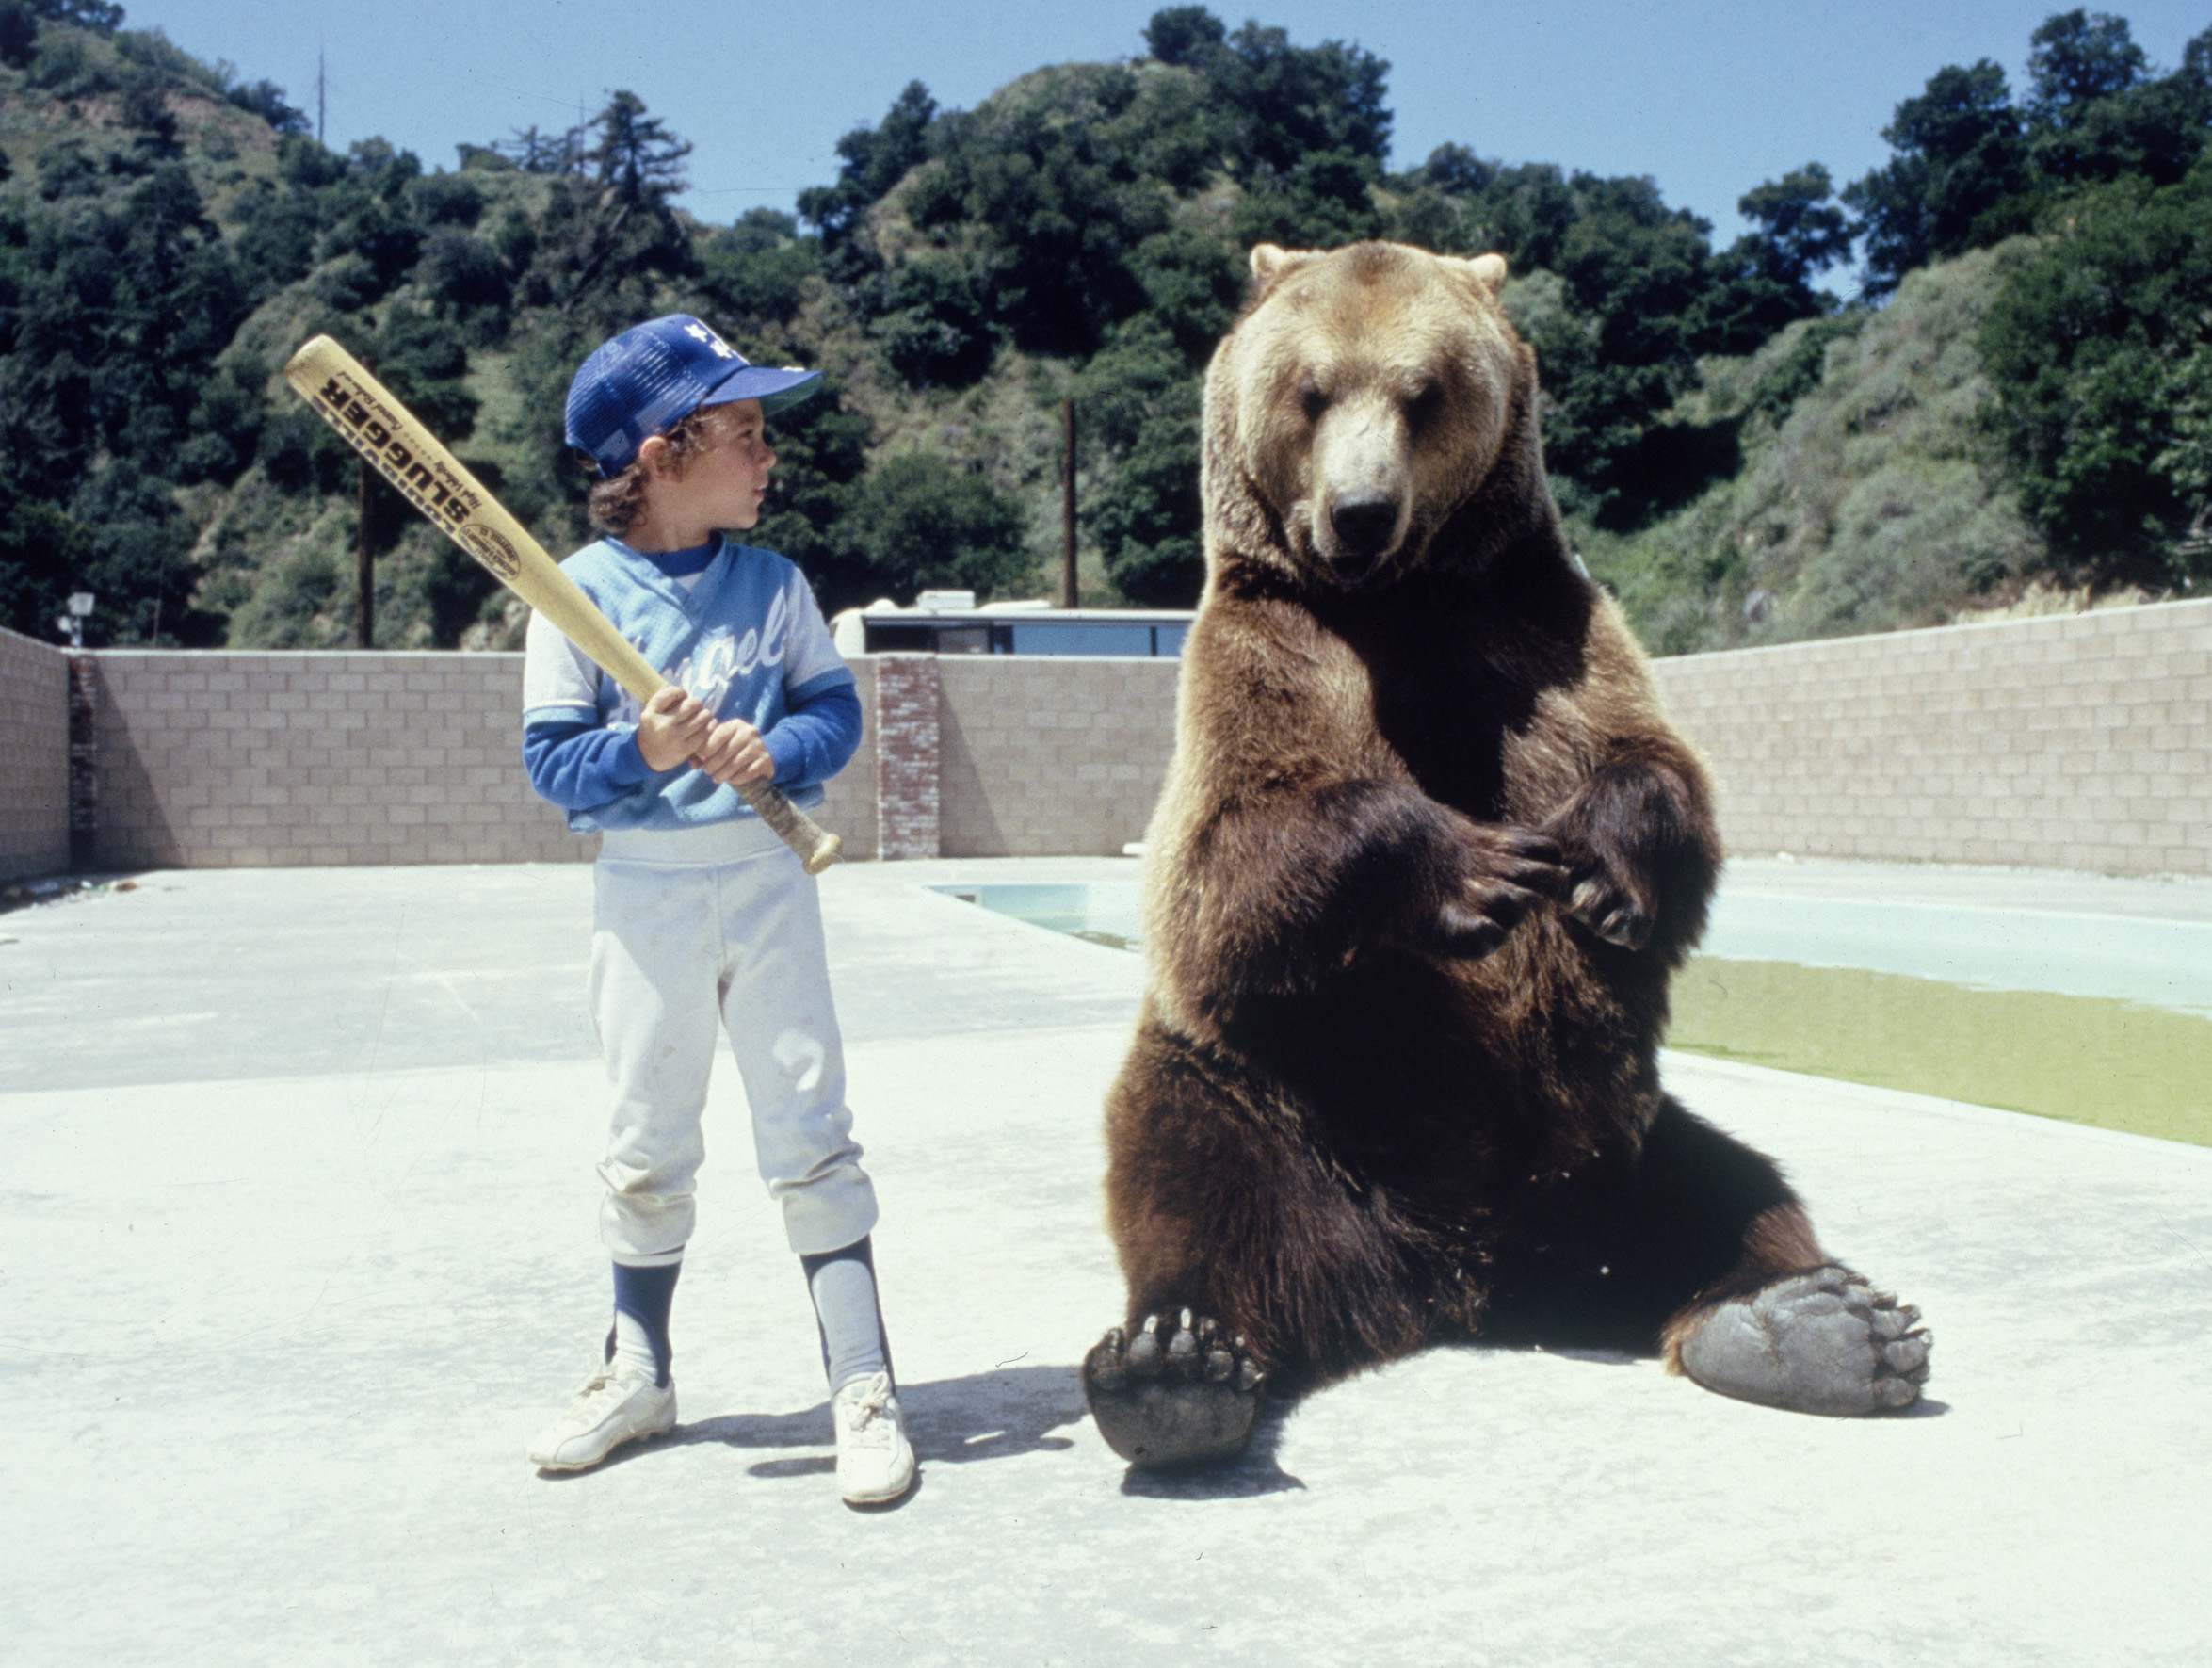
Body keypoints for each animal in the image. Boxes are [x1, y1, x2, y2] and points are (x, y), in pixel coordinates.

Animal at [1081, 240, 1931, 1470]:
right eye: (1311, 390)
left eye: (1424, 392)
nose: (1360, 512)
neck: (1399, 605)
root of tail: (1463, 1284)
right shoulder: (1264, 657)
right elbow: (1232, 862)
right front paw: (1485, 869)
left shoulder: (1537, 630)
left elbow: (1657, 771)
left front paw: (1594, 869)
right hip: (1276, 1099)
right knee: (1195, 1177)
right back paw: (1175, 1369)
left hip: (1629, 1138)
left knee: (1730, 1192)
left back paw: (1812, 1325)